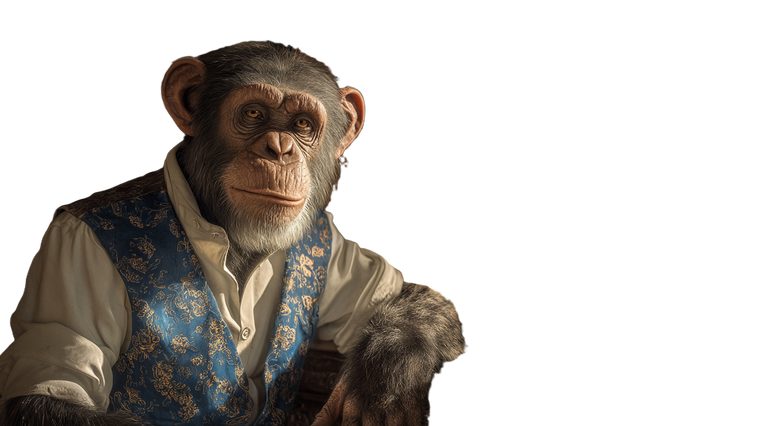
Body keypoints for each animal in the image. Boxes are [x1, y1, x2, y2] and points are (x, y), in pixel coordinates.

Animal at [0, 40, 466, 425]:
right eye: (254, 113)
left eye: (302, 124)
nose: (279, 148)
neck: (232, 237)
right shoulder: (72, 252)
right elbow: (51, 397)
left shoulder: (327, 238)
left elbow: (397, 296)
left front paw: (387, 377)